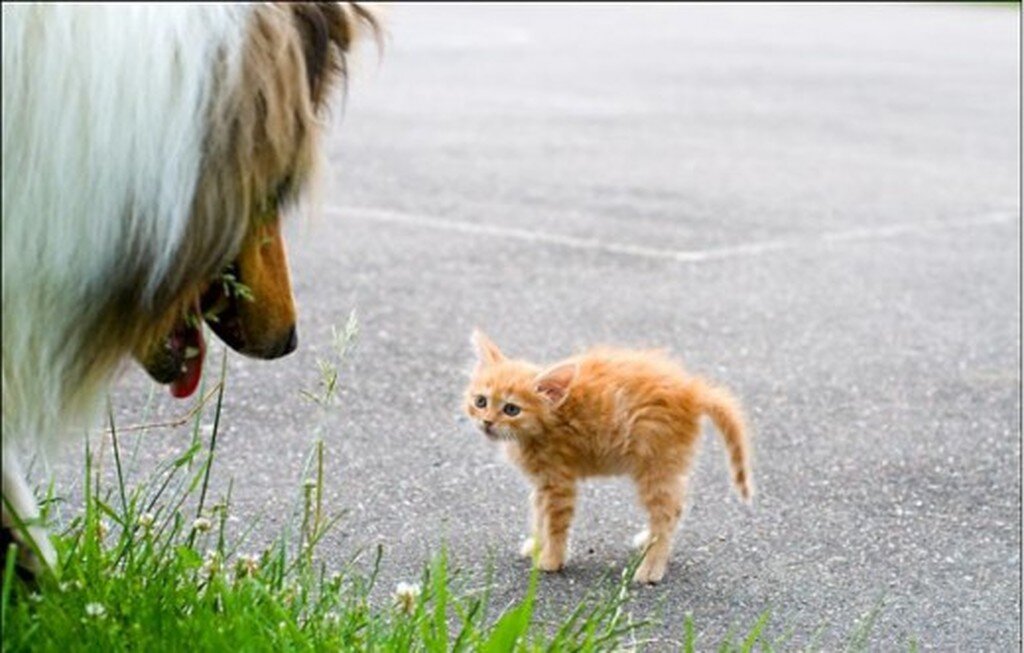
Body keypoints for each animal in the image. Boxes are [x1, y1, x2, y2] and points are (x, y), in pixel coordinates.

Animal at [466, 329, 753, 585]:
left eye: (511, 409)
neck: (547, 423)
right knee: (676, 507)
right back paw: (648, 542)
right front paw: (537, 545)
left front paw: (551, 560)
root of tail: (692, 391)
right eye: (481, 402)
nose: (487, 422)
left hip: (655, 466)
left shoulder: (559, 482)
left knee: (667, 512)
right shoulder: (542, 483)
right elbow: (539, 516)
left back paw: (651, 568)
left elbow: (555, 523)